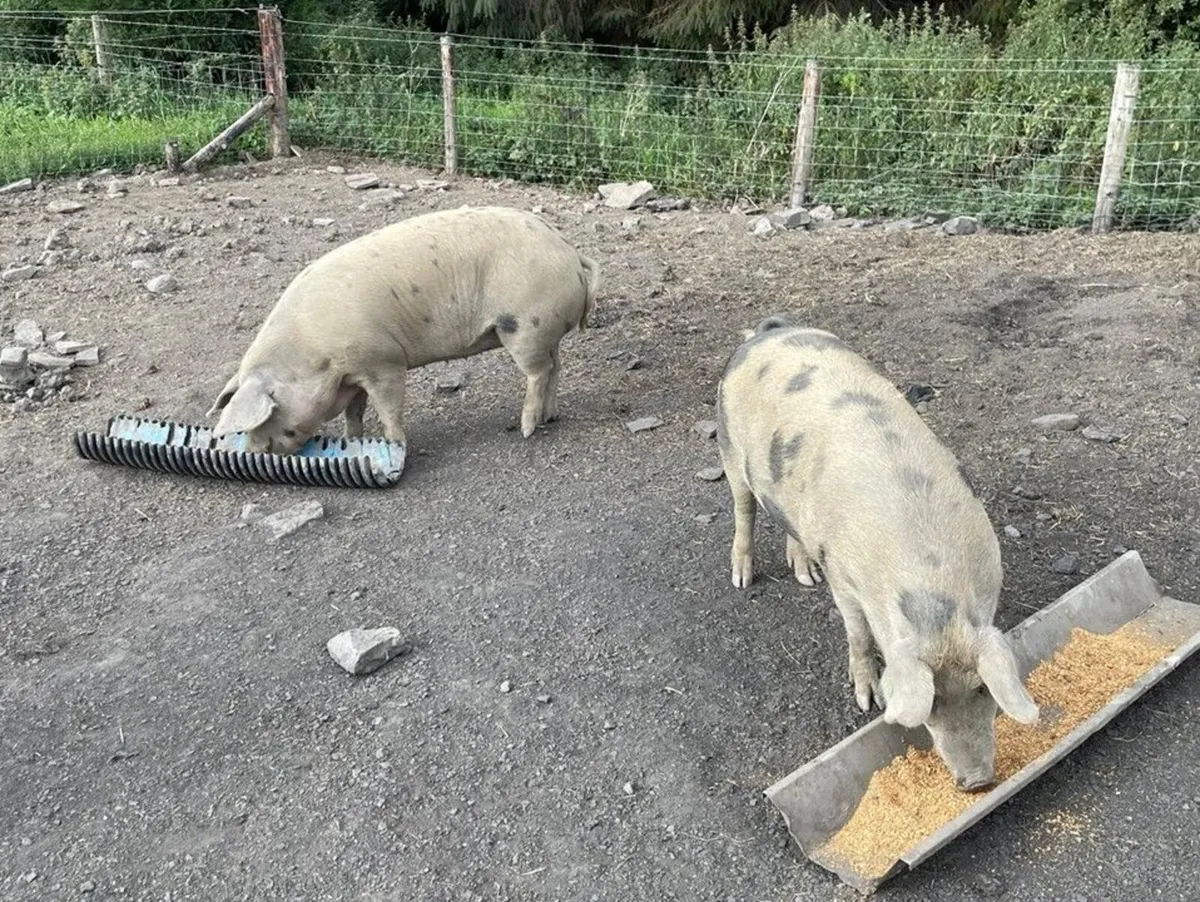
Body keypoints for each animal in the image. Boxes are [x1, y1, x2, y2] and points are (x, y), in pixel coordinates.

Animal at [207, 205, 600, 453]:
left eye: (267, 415)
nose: (256, 452)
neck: (313, 353)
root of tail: (569, 251)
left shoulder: (383, 361)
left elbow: (388, 408)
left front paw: (396, 444)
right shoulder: (353, 374)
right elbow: (355, 412)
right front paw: (352, 440)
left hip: (524, 327)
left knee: (538, 373)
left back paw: (526, 429)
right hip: (543, 329)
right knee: (555, 367)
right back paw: (551, 416)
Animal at [716, 314, 1038, 790]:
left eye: (982, 689)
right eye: (932, 704)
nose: (978, 781)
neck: (933, 579)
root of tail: (769, 331)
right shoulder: (844, 581)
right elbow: (858, 635)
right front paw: (867, 702)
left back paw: (804, 573)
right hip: (729, 447)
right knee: (744, 508)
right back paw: (742, 577)